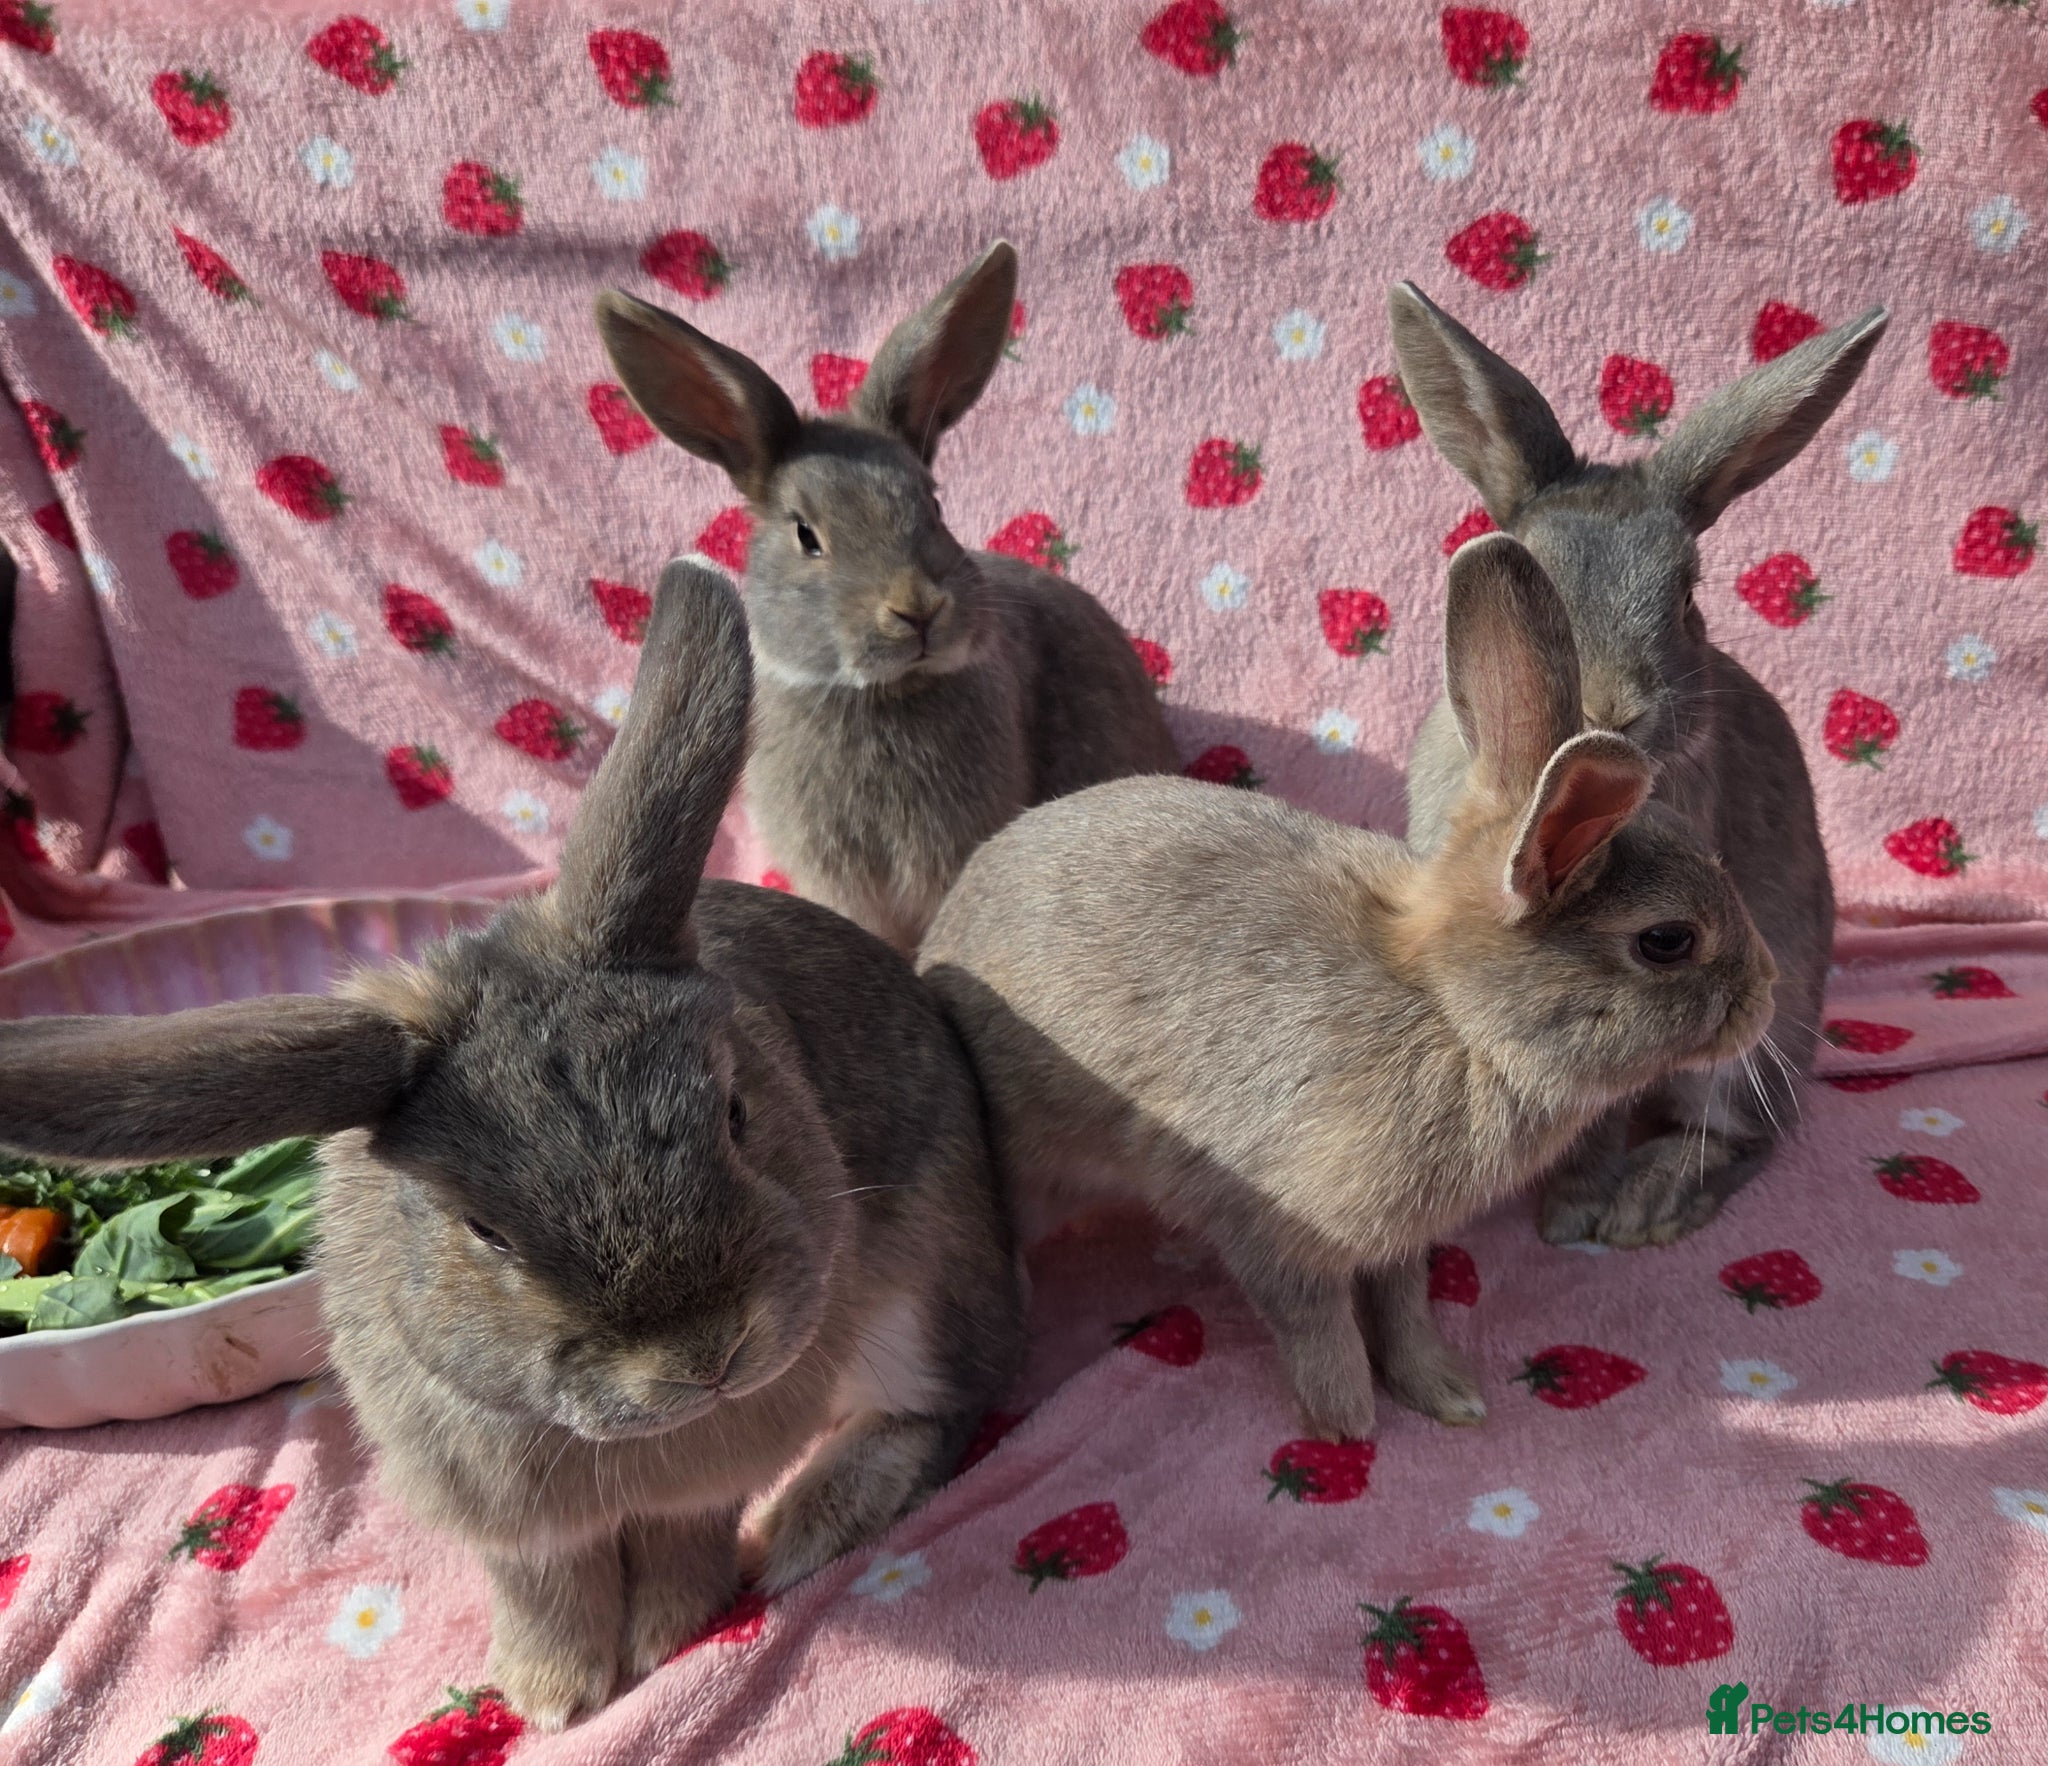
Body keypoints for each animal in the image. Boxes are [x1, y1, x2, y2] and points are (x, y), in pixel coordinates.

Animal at [0, 561, 1025, 1731]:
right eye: (482, 1229)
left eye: (734, 1111)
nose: (708, 1360)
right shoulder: (504, 1515)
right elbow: (544, 1582)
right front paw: (553, 1695)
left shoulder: (703, 1475)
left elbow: (681, 1537)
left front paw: (666, 1638)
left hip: (923, 1282)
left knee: (940, 1401)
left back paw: (805, 1526)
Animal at [919, 534, 1778, 1443]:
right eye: (1667, 941)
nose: (1768, 994)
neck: (1455, 1016)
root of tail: (942, 928)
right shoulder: (1267, 1221)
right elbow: (1313, 1318)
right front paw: (1346, 1420)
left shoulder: (1399, 1239)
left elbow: (1403, 1303)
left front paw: (1444, 1392)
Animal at [1388, 282, 1888, 1249]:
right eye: (1528, 570)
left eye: (1688, 594)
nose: (1610, 706)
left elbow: (1601, 1111)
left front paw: (1573, 1215)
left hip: (1753, 1045)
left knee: (1745, 1134)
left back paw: (1649, 1206)